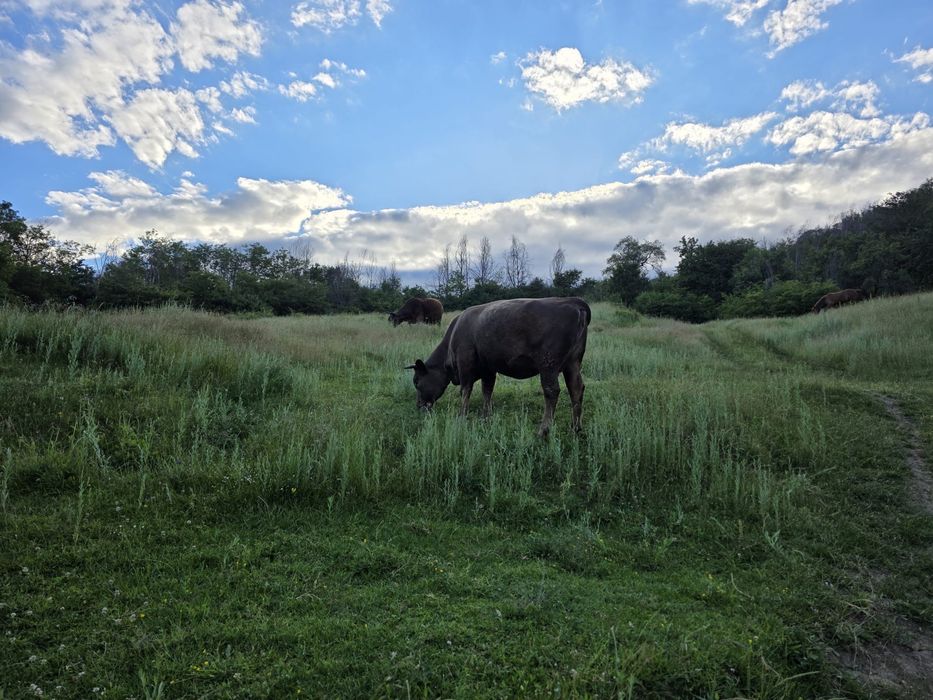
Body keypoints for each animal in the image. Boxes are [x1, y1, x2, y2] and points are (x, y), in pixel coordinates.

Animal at [405, 297, 591, 437]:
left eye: (416, 381)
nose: (419, 406)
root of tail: (573, 301)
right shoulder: (488, 368)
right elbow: (487, 391)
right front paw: (485, 416)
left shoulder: (465, 363)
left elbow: (465, 390)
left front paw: (462, 416)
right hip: (572, 364)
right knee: (576, 389)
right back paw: (575, 428)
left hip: (548, 365)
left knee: (552, 391)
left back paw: (543, 430)